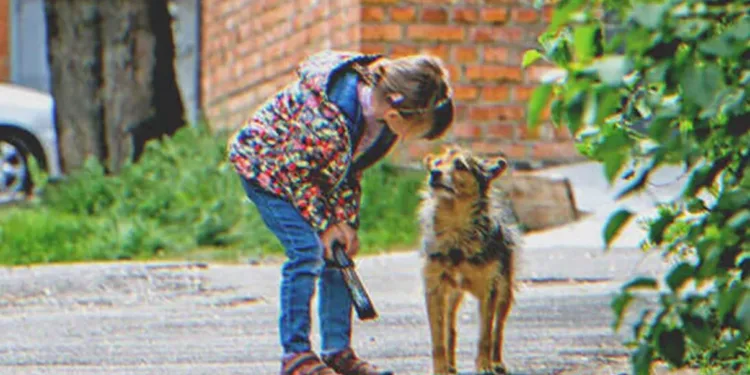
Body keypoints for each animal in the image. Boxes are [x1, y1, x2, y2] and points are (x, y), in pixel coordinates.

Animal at [418, 145, 524, 375]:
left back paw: (496, 362)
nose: (434, 173)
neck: (457, 232)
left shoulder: (490, 290)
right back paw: (450, 365)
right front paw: (440, 368)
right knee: (450, 329)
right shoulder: (434, 289)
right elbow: (438, 337)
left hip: (505, 291)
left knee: (498, 329)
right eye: (437, 163)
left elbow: (485, 334)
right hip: (451, 296)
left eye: (460, 165)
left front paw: (484, 366)